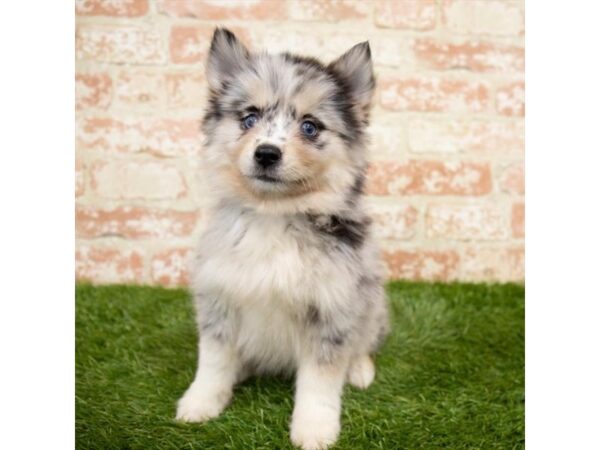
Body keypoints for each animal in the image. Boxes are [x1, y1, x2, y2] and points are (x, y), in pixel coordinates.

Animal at [176, 29, 392, 450]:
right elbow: (213, 362)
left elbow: (320, 383)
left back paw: (359, 370)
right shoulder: (218, 299)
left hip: (371, 302)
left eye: (310, 127)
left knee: (363, 342)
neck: (274, 217)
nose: (266, 153)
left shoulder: (331, 310)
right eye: (249, 118)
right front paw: (200, 402)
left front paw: (314, 429)